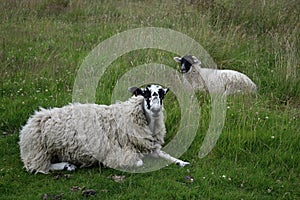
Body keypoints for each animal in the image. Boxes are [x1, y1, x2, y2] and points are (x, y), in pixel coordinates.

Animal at [19, 84, 190, 173]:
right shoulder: (118, 151)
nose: (155, 108)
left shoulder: (151, 147)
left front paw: (182, 162)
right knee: (39, 167)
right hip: (38, 152)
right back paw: (67, 166)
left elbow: (167, 155)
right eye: (145, 93)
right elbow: (139, 162)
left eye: (162, 94)